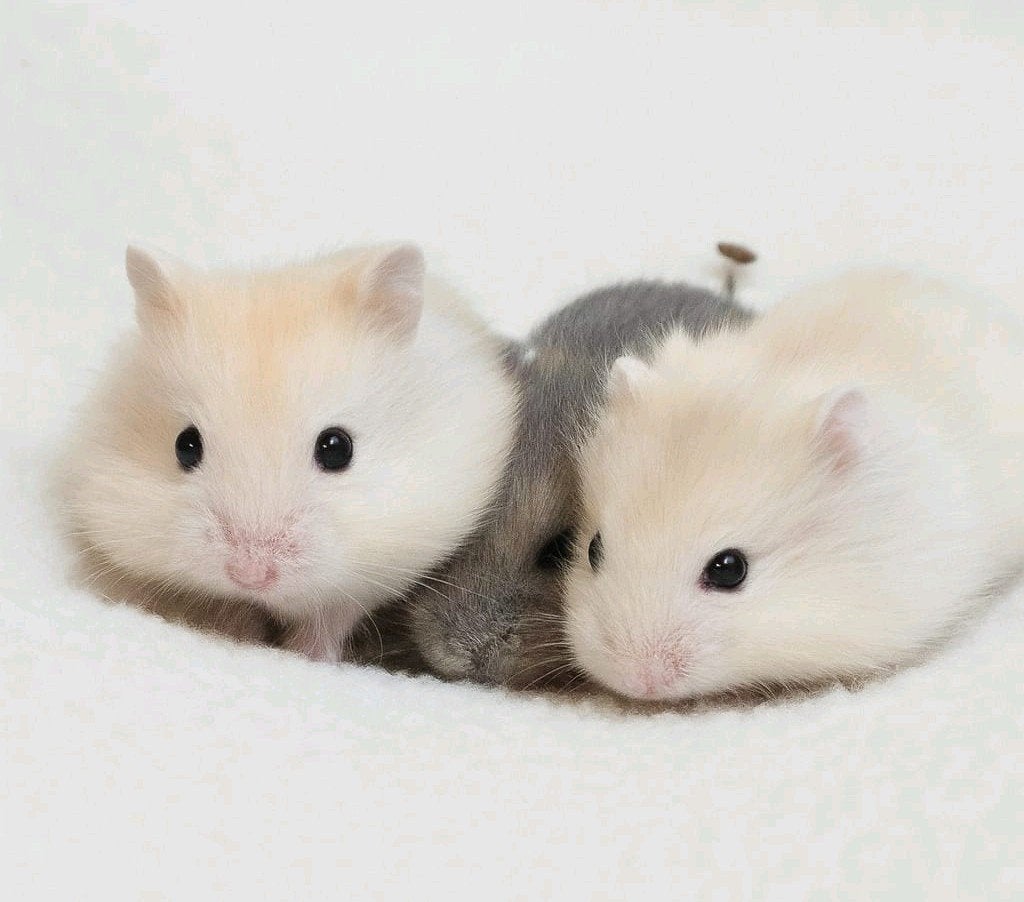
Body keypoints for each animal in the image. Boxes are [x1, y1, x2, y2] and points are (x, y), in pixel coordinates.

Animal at [60, 243, 517, 662]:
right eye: (185, 446)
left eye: (337, 448)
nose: (250, 574)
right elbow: (231, 609)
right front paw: (235, 637)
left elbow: (329, 619)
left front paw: (307, 656)